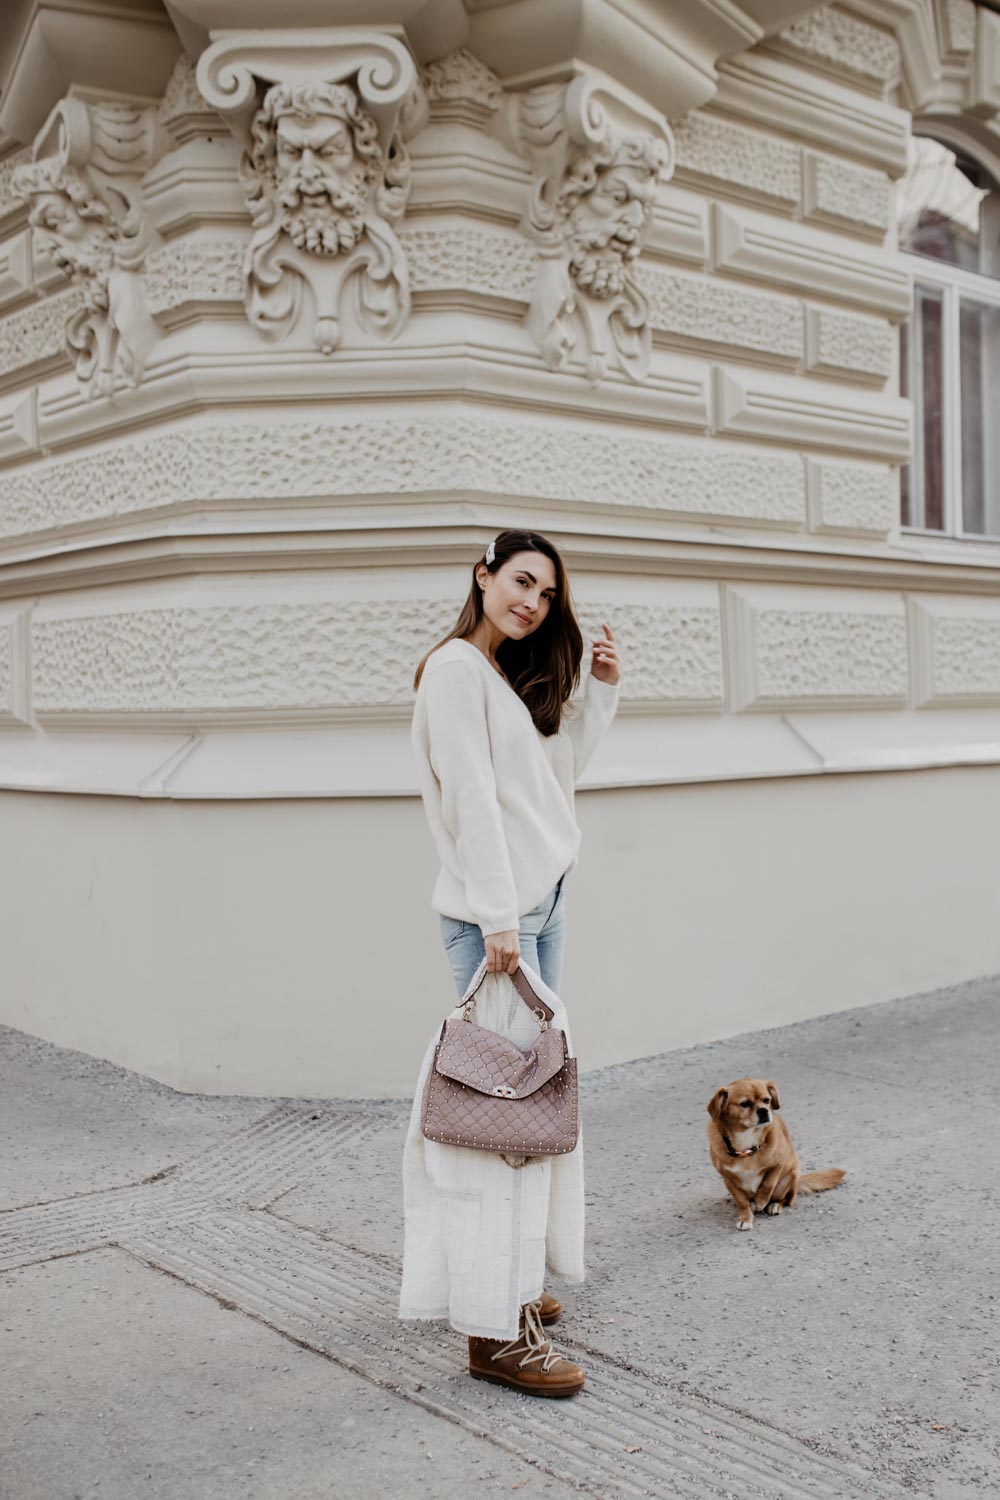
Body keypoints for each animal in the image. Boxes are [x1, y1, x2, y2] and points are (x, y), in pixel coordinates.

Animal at [704, 1080, 845, 1230]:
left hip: (787, 1180)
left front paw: (761, 1201)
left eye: (767, 1100)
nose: (763, 1110)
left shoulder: (778, 1165)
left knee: (785, 1200)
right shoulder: (728, 1179)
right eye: (745, 1103)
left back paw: (774, 1205)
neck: (746, 1145)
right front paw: (745, 1218)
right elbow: (742, 1202)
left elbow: (768, 1184)